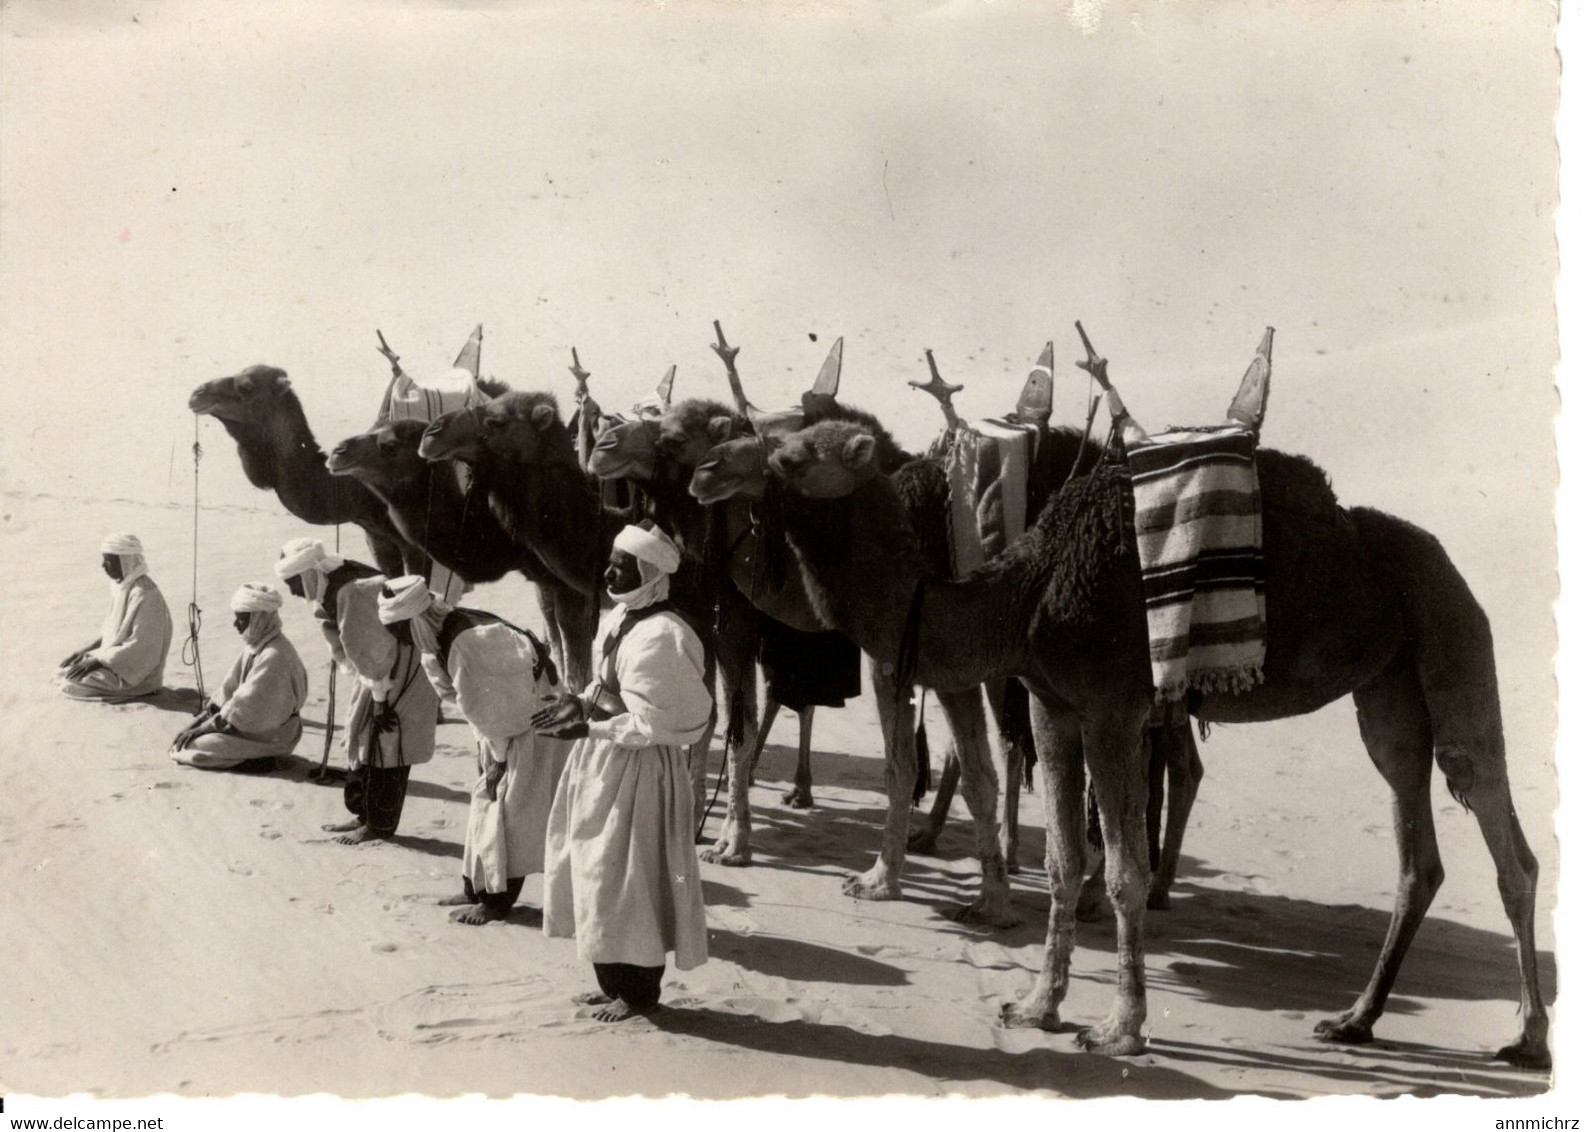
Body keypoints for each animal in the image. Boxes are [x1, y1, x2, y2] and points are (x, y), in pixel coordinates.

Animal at [702, 410, 1544, 1068]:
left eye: (788, 453)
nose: (708, 468)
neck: (1027, 591)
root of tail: (1445, 563)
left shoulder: (1112, 709)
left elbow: (1121, 873)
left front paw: (1118, 1029)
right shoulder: (1054, 707)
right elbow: (1061, 860)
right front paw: (1035, 1006)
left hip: (1452, 635)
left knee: (1503, 835)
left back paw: (1527, 1038)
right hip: (1387, 690)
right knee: (1413, 843)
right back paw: (1354, 1020)